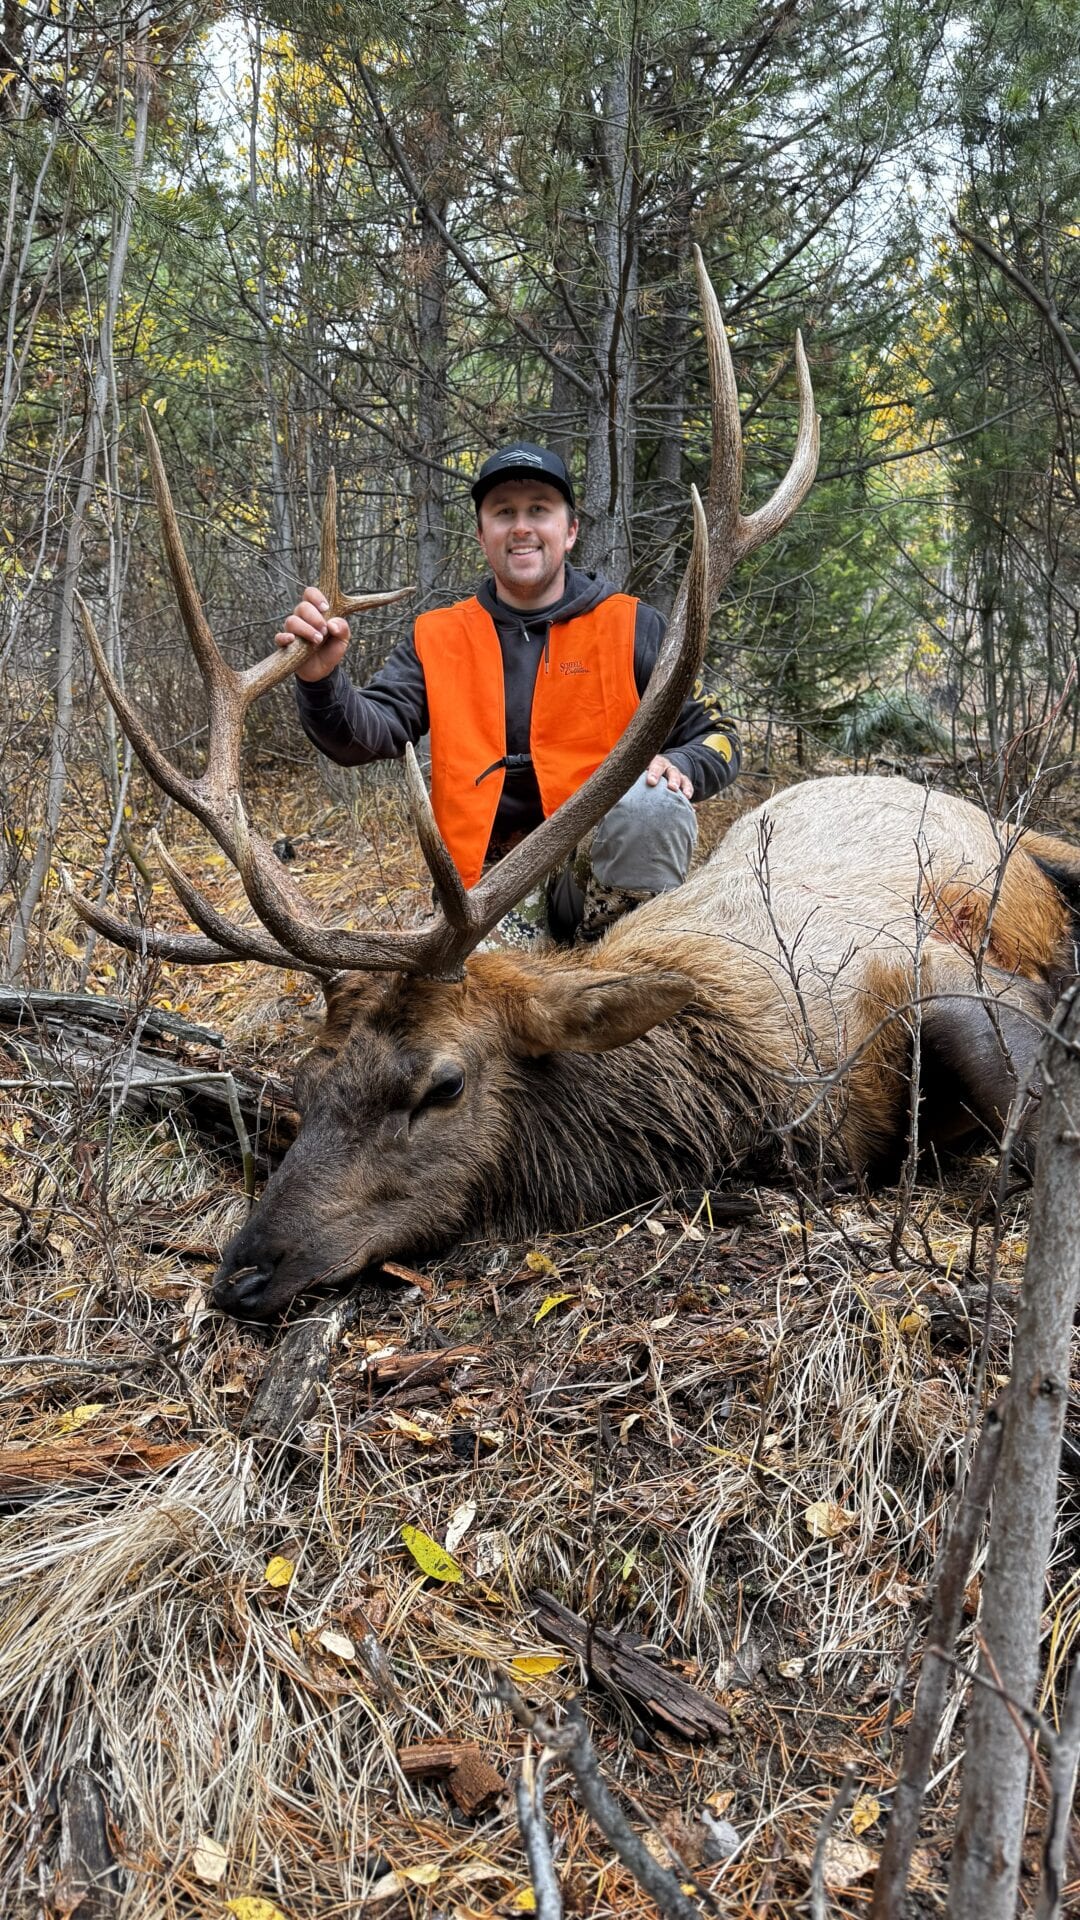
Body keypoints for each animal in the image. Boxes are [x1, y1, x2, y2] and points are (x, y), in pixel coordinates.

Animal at [68, 251, 1080, 1321]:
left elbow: (1024, 1128)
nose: (244, 1272)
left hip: (1033, 844)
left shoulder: (943, 973)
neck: (759, 1081)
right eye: (310, 1081)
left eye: (442, 1086)